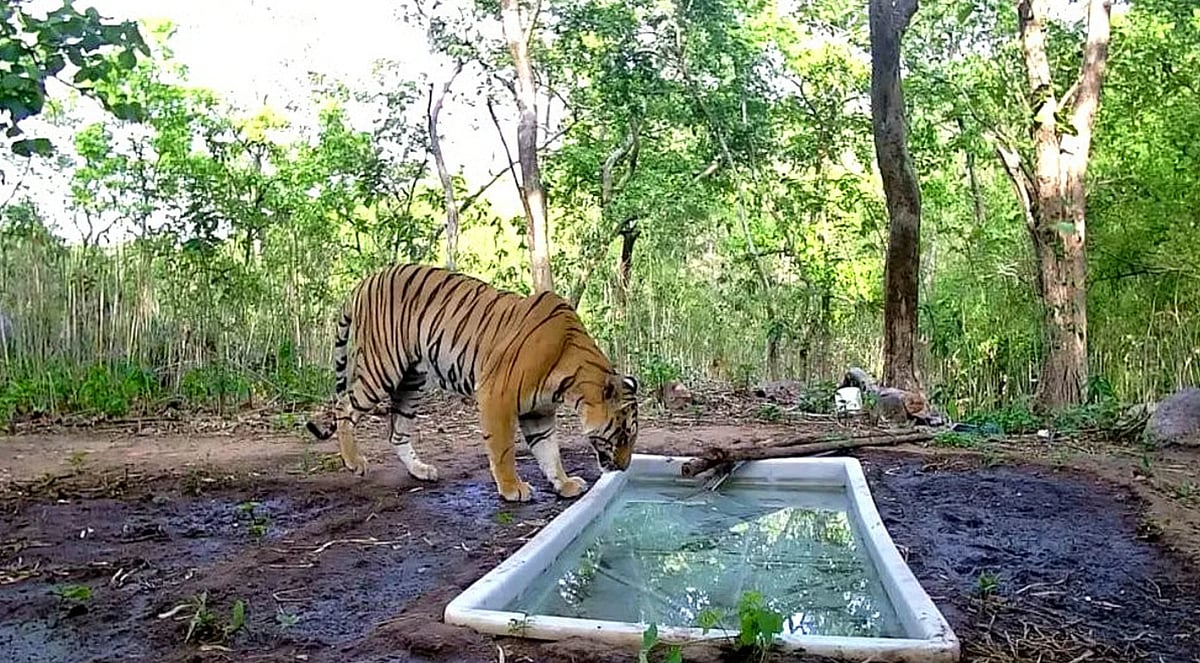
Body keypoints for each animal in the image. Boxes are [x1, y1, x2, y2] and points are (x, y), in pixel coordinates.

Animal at [305, 263, 639, 502]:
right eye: (623, 433)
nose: (624, 468)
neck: (570, 384)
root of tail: (365, 280)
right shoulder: (497, 396)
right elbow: (503, 449)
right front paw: (513, 489)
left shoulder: (538, 412)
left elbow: (549, 451)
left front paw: (565, 484)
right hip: (382, 369)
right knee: (344, 406)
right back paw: (354, 461)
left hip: (412, 380)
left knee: (397, 431)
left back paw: (421, 471)